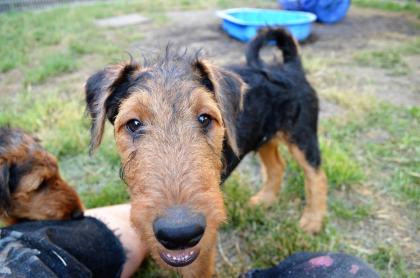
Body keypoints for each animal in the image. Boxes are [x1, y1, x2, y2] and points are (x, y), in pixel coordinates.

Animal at [85, 27, 326, 276]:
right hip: (263, 136)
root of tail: (290, 66)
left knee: (316, 176)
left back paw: (312, 221)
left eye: (205, 118)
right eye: (133, 123)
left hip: (303, 136)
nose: (179, 233)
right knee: (277, 166)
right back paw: (264, 200)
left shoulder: (203, 249)